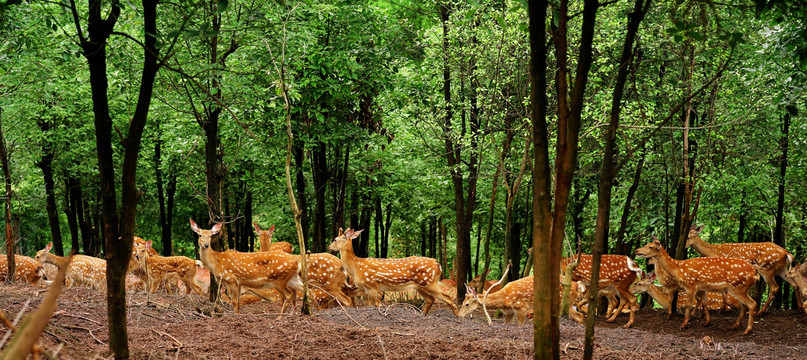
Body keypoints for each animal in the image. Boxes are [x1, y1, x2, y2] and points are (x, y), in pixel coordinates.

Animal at [326, 228, 454, 316]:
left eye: (335, 239)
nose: (328, 247)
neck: (356, 267)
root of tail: (438, 264)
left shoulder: (372, 286)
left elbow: (370, 305)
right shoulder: (367, 289)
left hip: (430, 283)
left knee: (449, 298)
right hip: (421, 286)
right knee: (430, 299)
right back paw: (423, 315)